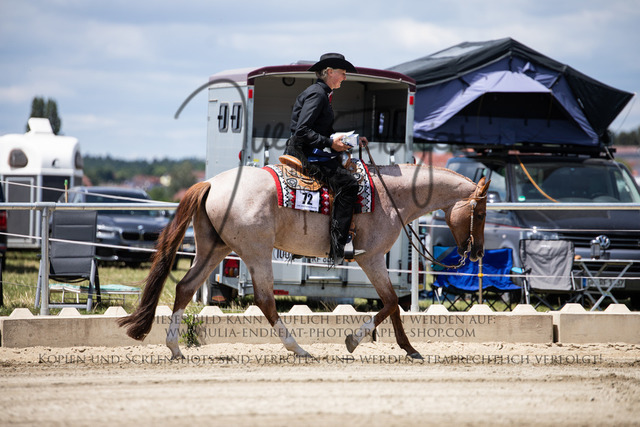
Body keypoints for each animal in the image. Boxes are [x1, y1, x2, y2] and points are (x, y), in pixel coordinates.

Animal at [118, 163, 490, 360]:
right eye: (482, 212)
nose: (478, 253)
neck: (389, 195)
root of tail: (211, 183)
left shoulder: (372, 261)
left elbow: (390, 305)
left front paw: (400, 347)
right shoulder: (371, 259)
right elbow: (389, 303)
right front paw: (372, 343)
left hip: (215, 249)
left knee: (184, 287)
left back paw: (175, 349)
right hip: (255, 252)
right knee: (266, 300)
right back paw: (298, 349)